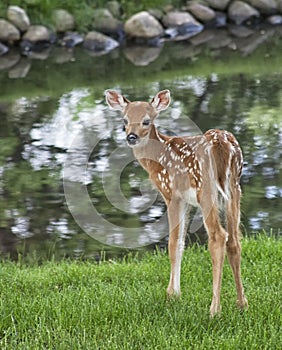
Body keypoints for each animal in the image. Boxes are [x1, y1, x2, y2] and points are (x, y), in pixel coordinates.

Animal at [104, 89, 248, 316]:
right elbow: (181, 242)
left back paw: (214, 309)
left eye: (146, 121)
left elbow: (172, 243)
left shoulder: (171, 194)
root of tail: (223, 144)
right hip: (234, 188)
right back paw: (242, 303)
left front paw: (171, 294)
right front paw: (174, 292)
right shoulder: (188, 201)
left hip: (206, 190)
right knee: (234, 239)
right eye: (124, 120)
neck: (158, 157)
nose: (131, 137)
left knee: (218, 236)